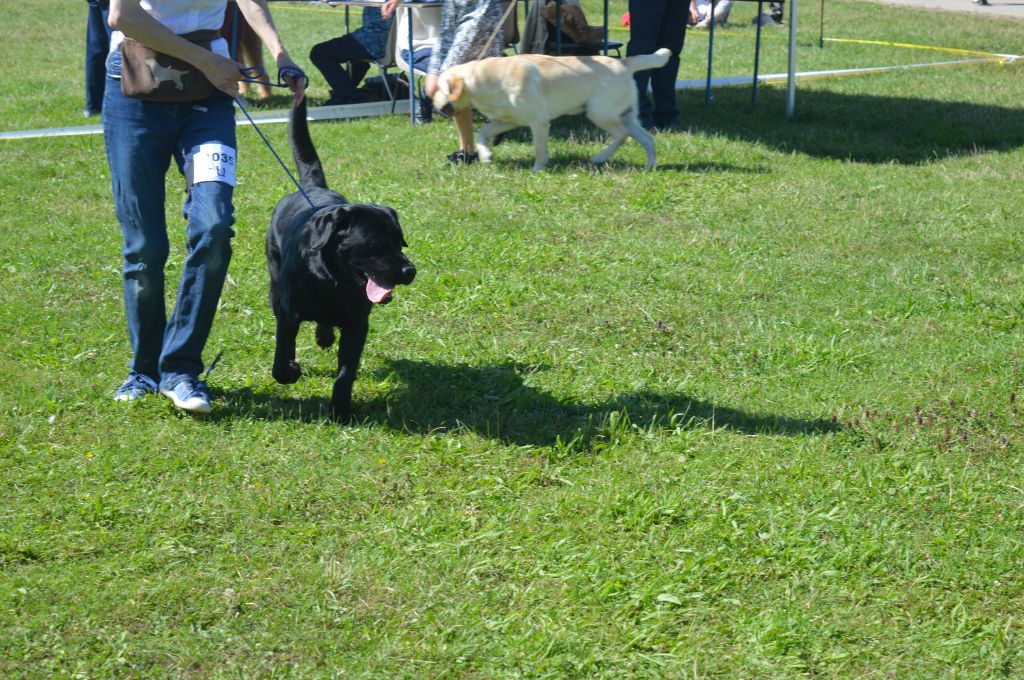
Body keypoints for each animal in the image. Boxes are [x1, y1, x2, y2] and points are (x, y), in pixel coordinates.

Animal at [264, 98, 415, 421]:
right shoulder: (288, 313)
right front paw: (291, 370)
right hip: (273, 284)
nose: (410, 270)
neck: (332, 283)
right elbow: (282, 356)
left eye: (400, 241)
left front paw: (341, 410)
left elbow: (346, 373)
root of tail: (313, 188)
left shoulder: (357, 324)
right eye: (376, 243)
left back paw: (324, 336)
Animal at [432, 48, 671, 170]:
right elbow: (482, 133)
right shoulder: (509, 120)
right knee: (647, 138)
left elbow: (540, 150)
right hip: (626, 115)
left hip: (599, 112)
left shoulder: (538, 121)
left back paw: (599, 158)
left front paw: (538, 169)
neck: (483, 80)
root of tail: (623, 63)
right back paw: (650, 166)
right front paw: (486, 155)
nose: (431, 103)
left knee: (622, 135)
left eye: (438, 87)